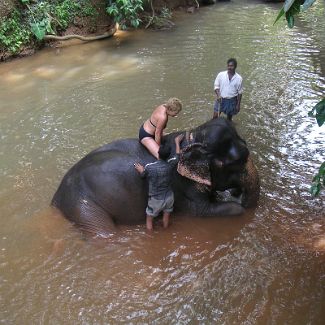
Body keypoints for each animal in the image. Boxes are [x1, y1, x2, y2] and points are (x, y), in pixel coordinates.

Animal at [51, 117, 258, 234]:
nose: (238, 192)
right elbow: (203, 210)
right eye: (234, 162)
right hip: (82, 206)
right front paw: (238, 207)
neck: (194, 137)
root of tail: (56, 198)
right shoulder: (184, 186)